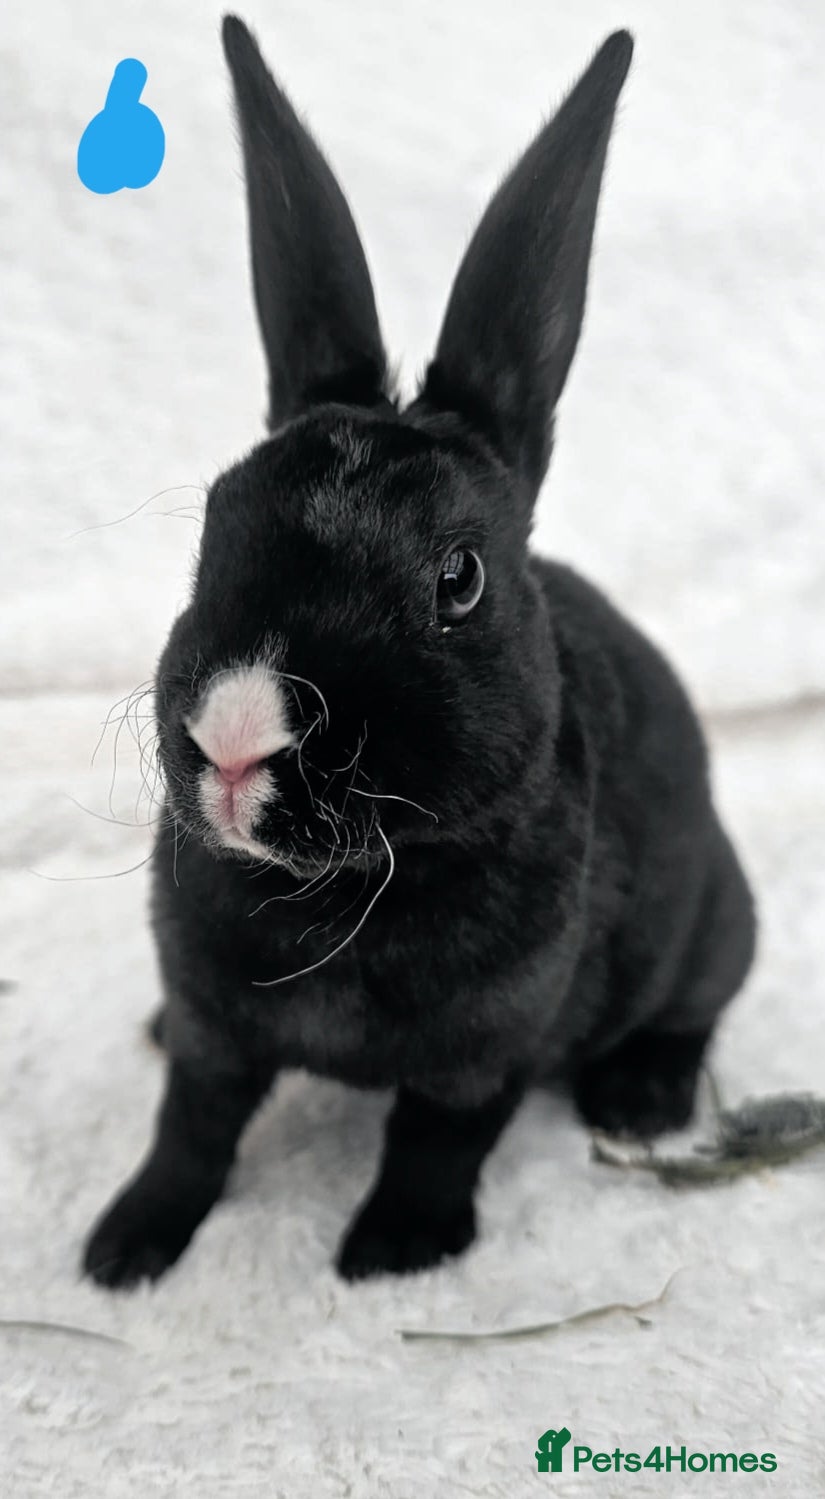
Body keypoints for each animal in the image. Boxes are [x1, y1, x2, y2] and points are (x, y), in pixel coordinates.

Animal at [82, 16, 756, 1290]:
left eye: (459, 578)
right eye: (215, 525)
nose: (237, 735)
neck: (347, 886)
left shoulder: (487, 1049)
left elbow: (437, 1137)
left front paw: (390, 1253)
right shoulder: (209, 1024)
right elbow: (189, 1126)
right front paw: (124, 1247)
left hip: (710, 925)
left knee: (696, 1001)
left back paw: (639, 1099)